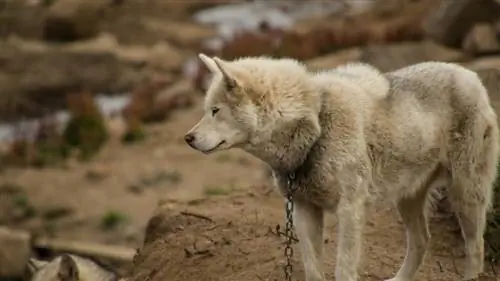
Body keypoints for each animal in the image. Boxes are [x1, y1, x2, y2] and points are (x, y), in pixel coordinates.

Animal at [186, 53, 498, 280]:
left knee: (476, 247)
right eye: (207, 110)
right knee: (422, 241)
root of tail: (471, 76)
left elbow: (343, 269)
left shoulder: (350, 210)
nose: (188, 138)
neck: (317, 124)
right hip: (408, 198)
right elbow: (313, 269)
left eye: (215, 111)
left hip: (465, 195)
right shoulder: (304, 210)